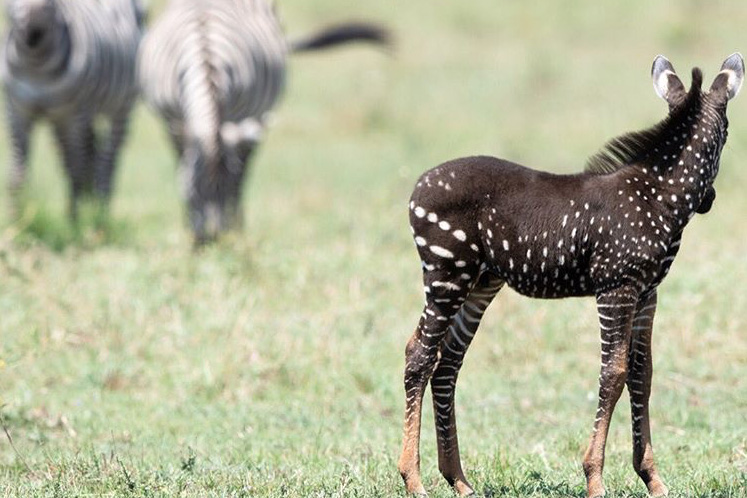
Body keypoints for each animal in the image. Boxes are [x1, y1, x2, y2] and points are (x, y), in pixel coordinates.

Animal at [1, 0, 144, 220]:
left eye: (52, 4)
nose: (34, 32)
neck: (36, 64)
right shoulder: (16, 110)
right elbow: (17, 171)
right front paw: (15, 217)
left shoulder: (73, 115)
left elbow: (75, 166)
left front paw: (74, 219)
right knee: (89, 152)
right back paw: (91, 198)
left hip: (121, 107)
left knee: (107, 159)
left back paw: (101, 208)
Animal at [137, 0, 389, 244]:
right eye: (193, 191)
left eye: (226, 191)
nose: (213, 239)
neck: (206, 60)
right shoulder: (173, 121)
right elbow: (181, 164)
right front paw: (189, 226)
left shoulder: (239, 119)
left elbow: (238, 176)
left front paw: (233, 226)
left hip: (259, 116)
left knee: (246, 165)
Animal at [398, 54, 743, 498]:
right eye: (726, 137)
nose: (710, 201)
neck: (656, 196)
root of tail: (419, 184)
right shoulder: (616, 288)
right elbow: (613, 374)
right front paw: (594, 478)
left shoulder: (647, 292)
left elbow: (642, 373)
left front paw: (653, 479)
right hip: (445, 274)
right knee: (419, 356)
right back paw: (413, 479)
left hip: (479, 283)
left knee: (447, 364)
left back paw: (458, 479)